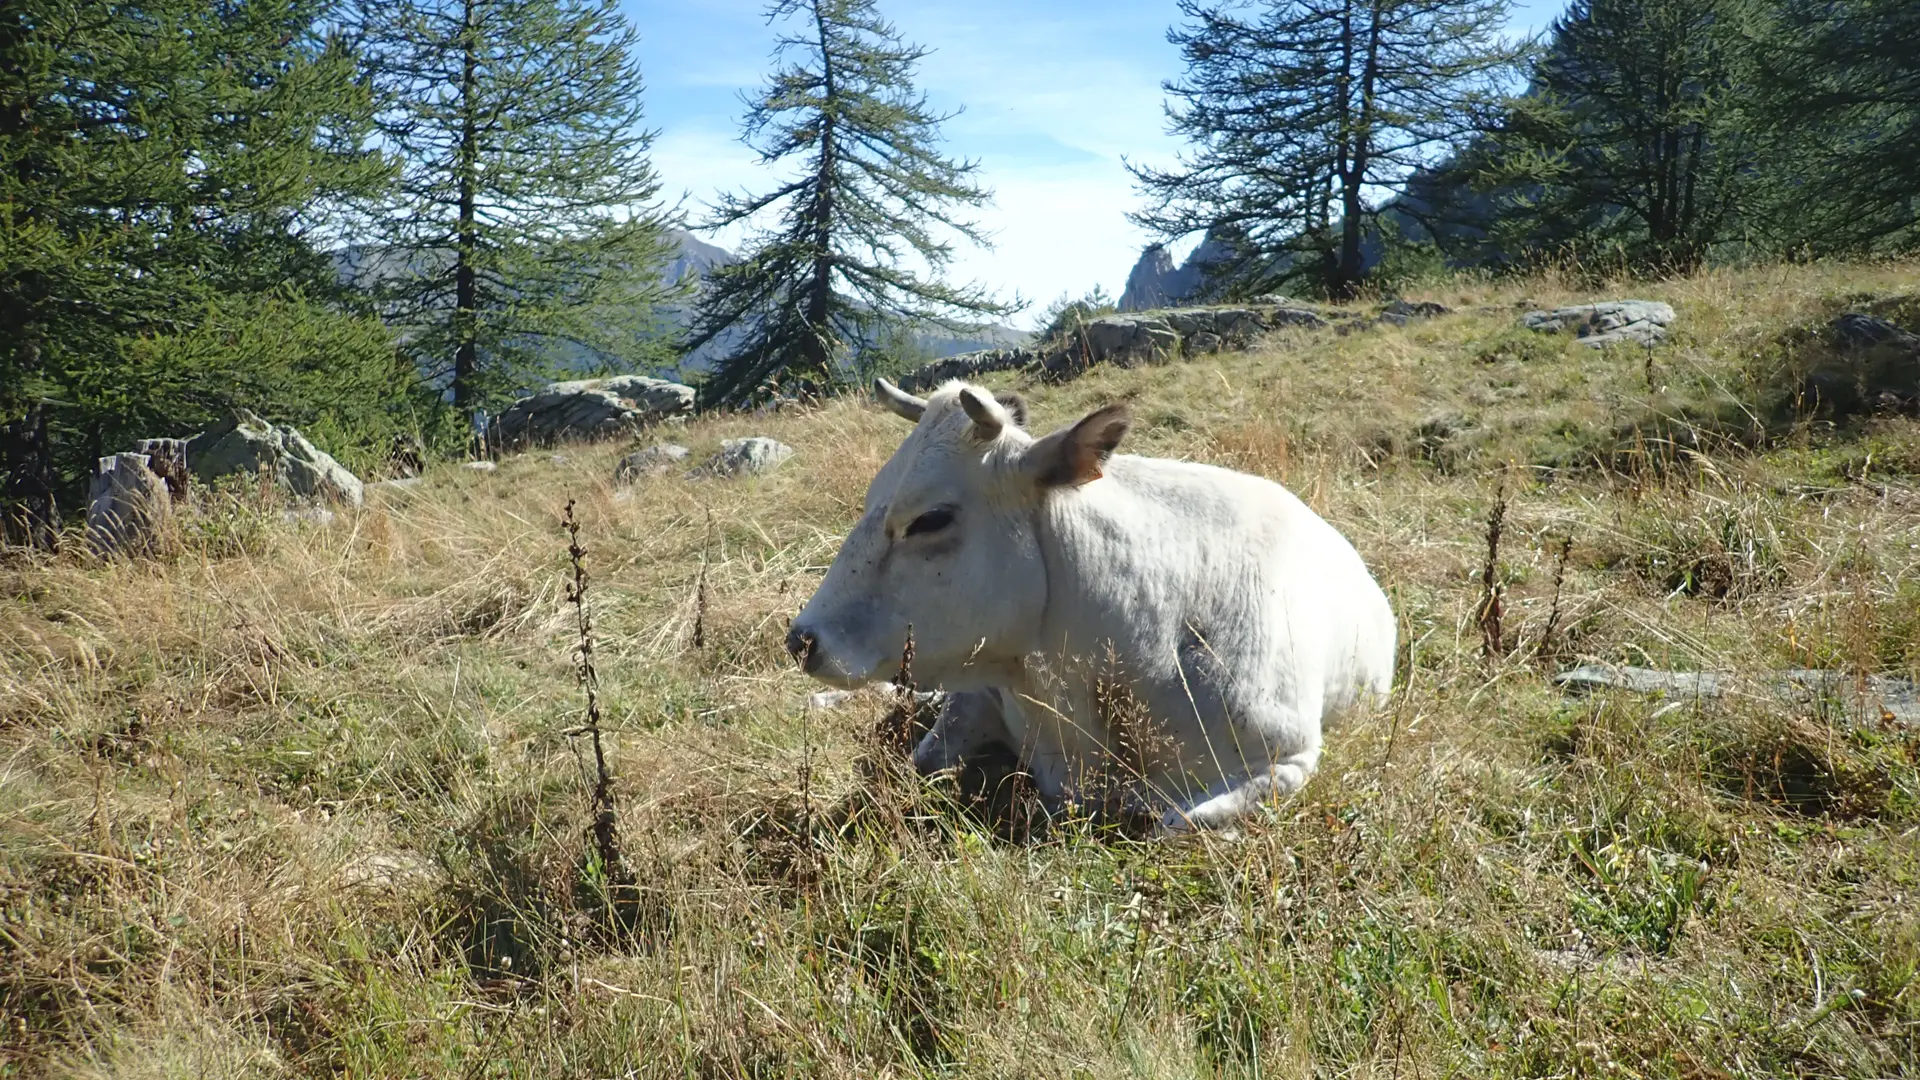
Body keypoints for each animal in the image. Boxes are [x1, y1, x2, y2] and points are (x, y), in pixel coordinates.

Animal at [779, 374, 1397, 826]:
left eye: (930, 519)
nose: (801, 640)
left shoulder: (1288, 757)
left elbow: (1178, 822)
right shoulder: (979, 692)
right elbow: (920, 760)